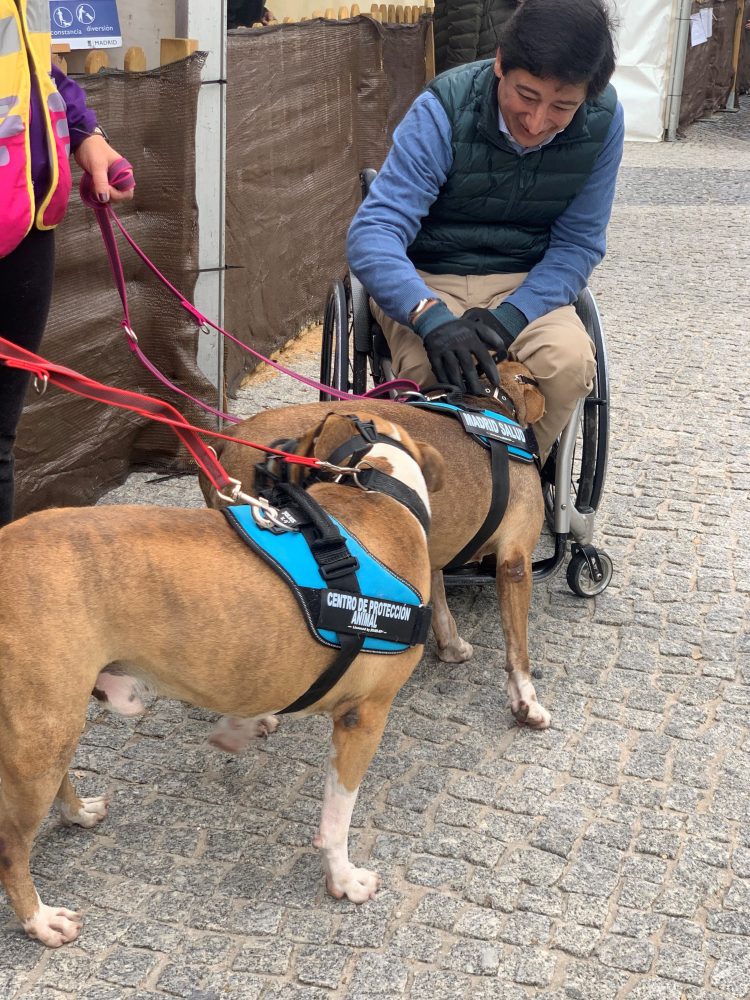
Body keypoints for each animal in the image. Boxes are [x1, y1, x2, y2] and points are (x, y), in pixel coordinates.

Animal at [0, 412, 443, 947]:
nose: (269, 458)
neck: (376, 487)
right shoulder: (364, 717)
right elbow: (337, 819)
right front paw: (342, 879)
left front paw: (242, 728)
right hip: (39, 734)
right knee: (10, 846)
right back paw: (40, 919)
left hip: (51, 724)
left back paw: (78, 811)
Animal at [201, 361, 548, 744]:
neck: (492, 402)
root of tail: (226, 439)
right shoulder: (515, 563)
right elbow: (518, 651)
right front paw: (526, 703)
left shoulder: (428, 551)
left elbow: (442, 606)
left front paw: (452, 646)